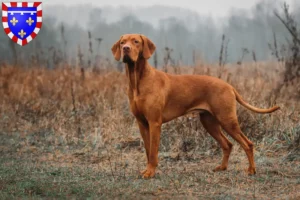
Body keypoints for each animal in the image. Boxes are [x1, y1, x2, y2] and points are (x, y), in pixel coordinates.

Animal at [111, 33, 280, 179]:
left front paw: (150, 172)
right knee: (228, 145)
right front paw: (147, 170)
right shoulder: (142, 123)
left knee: (248, 144)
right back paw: (222, 167)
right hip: (209, 122)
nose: (126, 49)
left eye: (136, 42)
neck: (137, 80)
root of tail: (229, 86)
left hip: (227, 120)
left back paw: (251, 170)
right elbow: (148, 151)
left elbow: (153, 153)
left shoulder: (154, 123)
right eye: (122, 42)